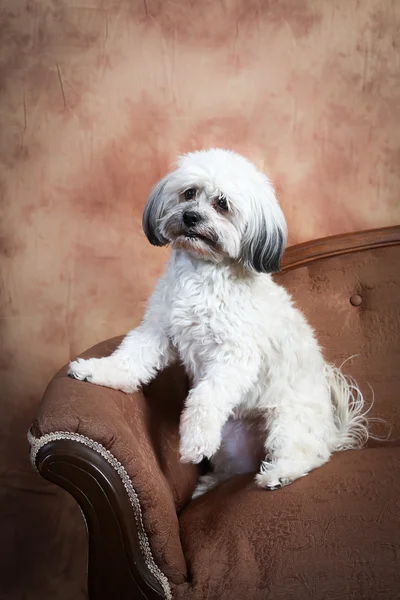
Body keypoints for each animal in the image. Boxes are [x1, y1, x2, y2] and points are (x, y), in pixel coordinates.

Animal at [68, 149, 368, 496]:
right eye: (189, 194)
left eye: (222, 204)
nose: (191, 217)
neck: (202, 272)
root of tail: (334, 435)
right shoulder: (158, 330)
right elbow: (130, 359)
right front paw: (96, 371)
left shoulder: (233, 357)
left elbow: (204, 397)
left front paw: (194, 442)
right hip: (230, 443)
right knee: (233, 469)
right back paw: (210, 484)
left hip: (289, 419)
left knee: (309, 454)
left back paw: (280, 474)